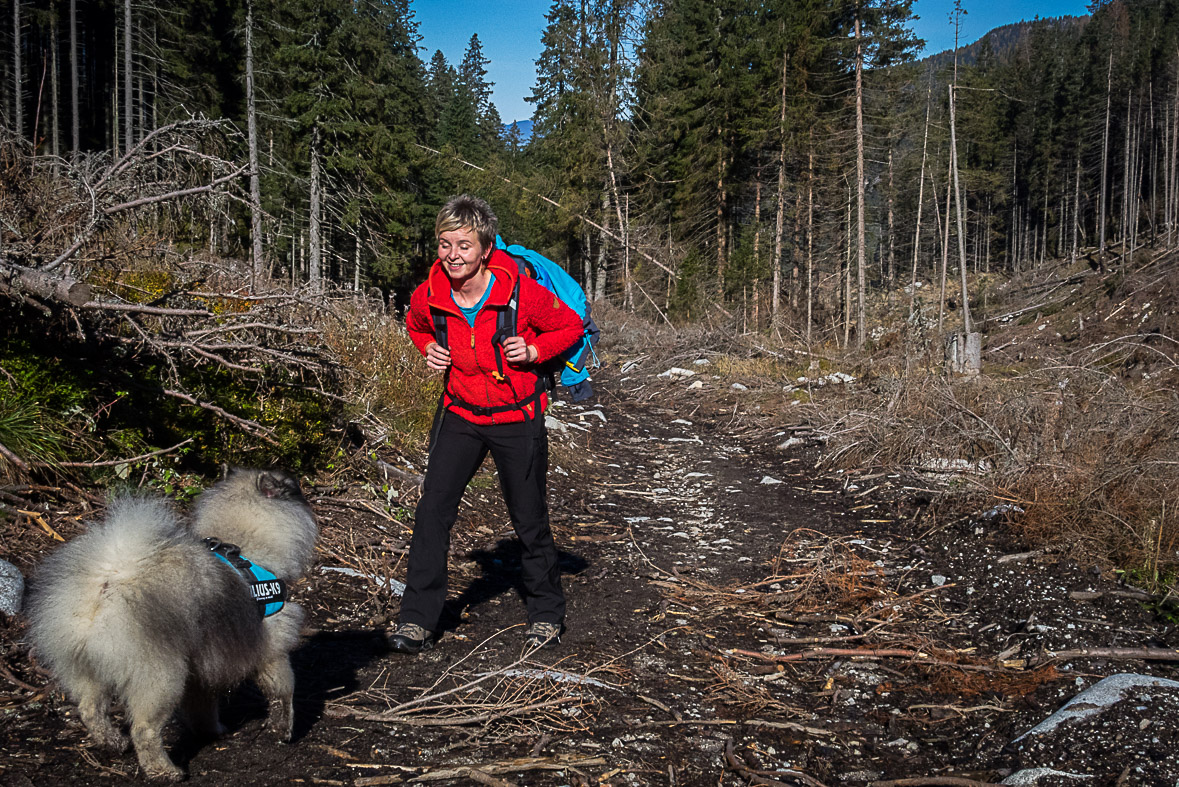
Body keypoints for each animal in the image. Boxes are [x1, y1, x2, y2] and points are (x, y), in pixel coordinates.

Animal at [27, 471, 320, 777]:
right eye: (292, 486)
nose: (301, 485)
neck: (247, 547)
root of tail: (104, 588)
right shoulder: (272, 649)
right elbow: (282, 692)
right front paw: (283, 730)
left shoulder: (200, 670)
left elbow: (203, 708)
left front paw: (212, 732)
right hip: (161, 679)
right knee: (143, 730)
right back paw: (164, 771)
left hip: (86, 670)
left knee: (90, 710)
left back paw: (113, 742)